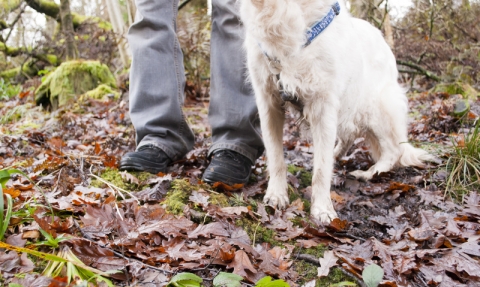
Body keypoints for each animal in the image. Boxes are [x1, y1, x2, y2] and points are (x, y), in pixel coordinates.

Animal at [242, 0, 434, 224]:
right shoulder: (269, 102)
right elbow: (276, 157)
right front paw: (276, 195)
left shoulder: (324, 105)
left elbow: (322, 170)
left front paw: (322, 210)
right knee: (348, 137)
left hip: (377, 108)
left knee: (393, 151)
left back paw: (369, 173)